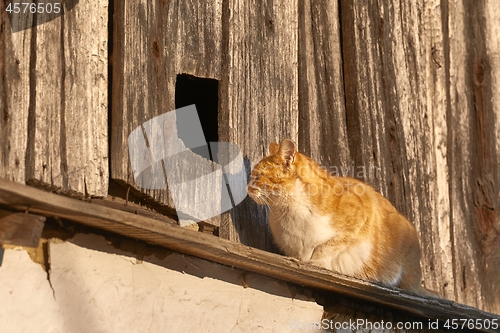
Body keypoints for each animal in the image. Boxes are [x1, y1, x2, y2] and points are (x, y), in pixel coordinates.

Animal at [247, 137, 438, 296]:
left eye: (258, 176)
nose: (247, 187)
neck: (288, 211)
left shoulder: (358, 219)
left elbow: (326, 247)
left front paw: (316, 263)